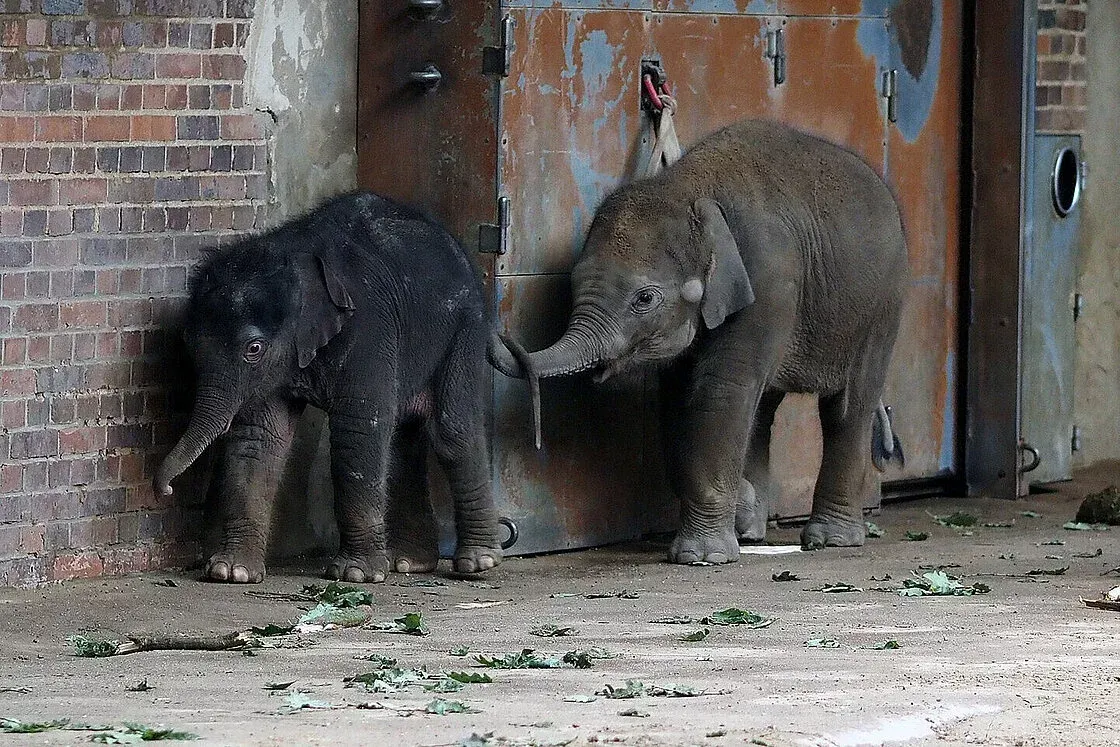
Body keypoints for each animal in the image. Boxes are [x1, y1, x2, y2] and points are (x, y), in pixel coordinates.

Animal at [155, 191, 506, 582]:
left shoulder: (369, 327)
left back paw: (478, 564)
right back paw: (408, 563)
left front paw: (356, 574)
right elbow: (260, 436)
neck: (295, 258)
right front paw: (231, 572)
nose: (165, 489)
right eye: (188, 344)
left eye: (254, 349)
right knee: (404, 436)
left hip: (465, 328)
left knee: (452, 431)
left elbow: (358, 428)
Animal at [495, 119, 904, 564]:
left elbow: (719, 391)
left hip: (882, 308)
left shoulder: (770, 278)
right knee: (764, 407)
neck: (690, 189)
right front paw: (739, 508)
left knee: (848, 406)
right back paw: (751, 531)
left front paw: (702, 556)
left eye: (644, 299)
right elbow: (678, 401)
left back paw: (831, 539)